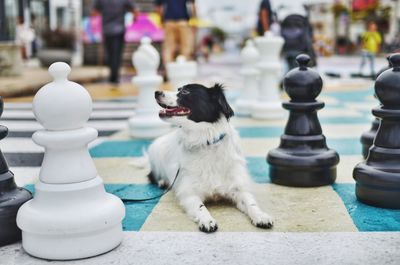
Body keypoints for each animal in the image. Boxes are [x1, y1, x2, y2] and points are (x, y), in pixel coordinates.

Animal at [148, 83, 274, 232]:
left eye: (185, 92)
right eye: (179, 89)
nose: (156, 92)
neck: (206, 142)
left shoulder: (238, 187)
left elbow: (251, 203)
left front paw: (261, 216)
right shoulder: (189, 193)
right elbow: (200, 207)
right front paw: (207, 220)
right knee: (151, 175)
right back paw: (162, 181)